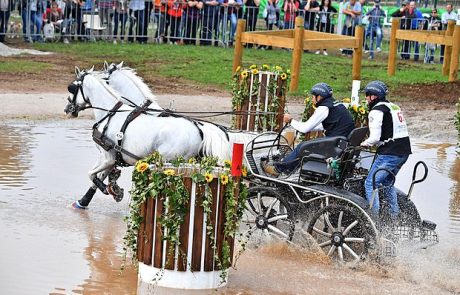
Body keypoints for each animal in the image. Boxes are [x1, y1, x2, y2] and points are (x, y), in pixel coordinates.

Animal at [66, 68, 234, 209]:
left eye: (72, 88)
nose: (67, 108)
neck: (110, 113)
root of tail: (198, 128)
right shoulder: (112, 158)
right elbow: (99, 176)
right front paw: (86, 200)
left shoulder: (107, 157)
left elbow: (91, 174)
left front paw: (109, 190)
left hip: (169, 162)